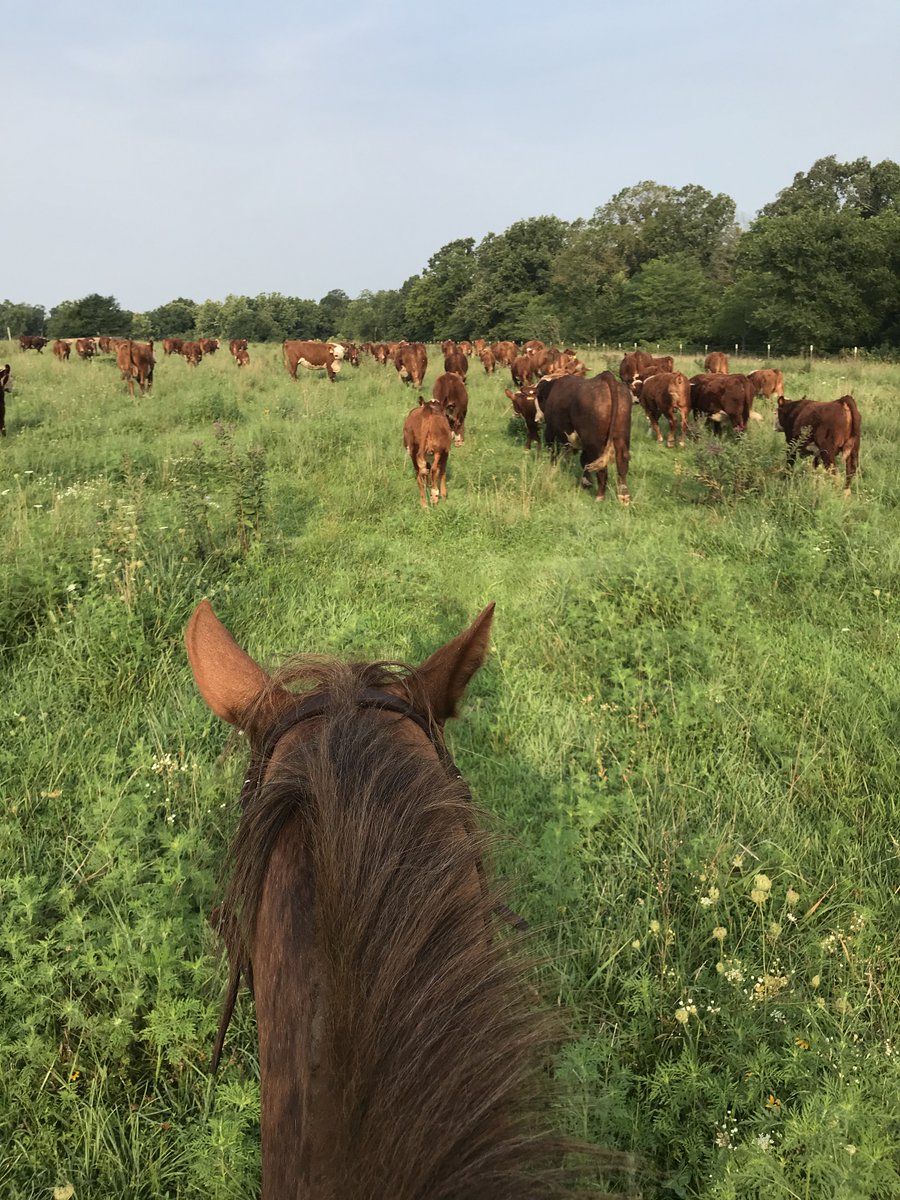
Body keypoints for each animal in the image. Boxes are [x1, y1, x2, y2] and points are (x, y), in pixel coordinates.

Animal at [537, 371, 632, 502]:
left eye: (538, 397)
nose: (537, 418)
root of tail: (605, 377)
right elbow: (583, 460)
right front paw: (586, 482)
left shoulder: (550, 431)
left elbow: (554, 452)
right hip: (621, 436)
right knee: (622, 462)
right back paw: (624, 497)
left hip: (594, 442)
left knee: (602, 468)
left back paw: (599, 496)